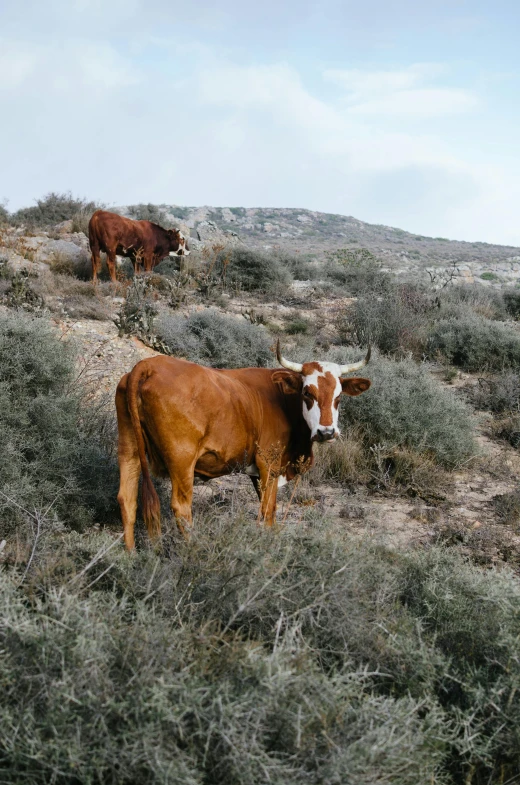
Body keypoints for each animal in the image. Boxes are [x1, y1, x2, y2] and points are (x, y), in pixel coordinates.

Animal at [117, 340, 370, 548]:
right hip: (182, 461)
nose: (326, 432)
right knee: (181, 508)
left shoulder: (258, 473)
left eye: (338, 397)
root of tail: (149, 365)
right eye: (308, 393)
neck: (282, 398)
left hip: (129, 451)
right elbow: (268, 511)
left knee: (127, 500)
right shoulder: (269, 465)